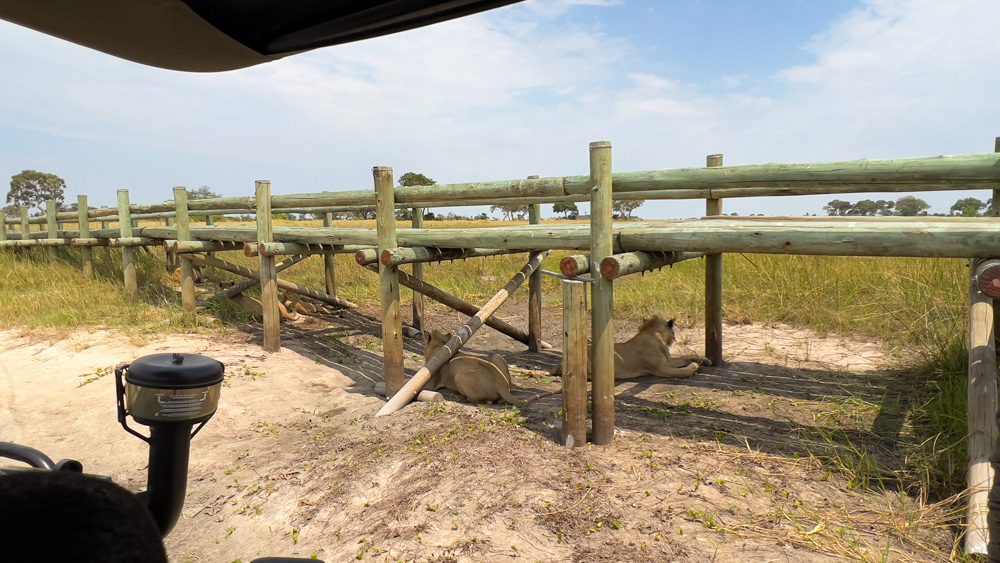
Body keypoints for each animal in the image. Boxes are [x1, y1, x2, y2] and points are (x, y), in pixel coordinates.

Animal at [553, 315, 709, 380]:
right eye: (674, 331)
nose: (674, 337)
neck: (653, 335)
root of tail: (559, 363)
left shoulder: (668, 361)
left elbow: (686, 357)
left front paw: (705, 360)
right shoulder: (660, 369)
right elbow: (684, 371)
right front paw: (695, 366)